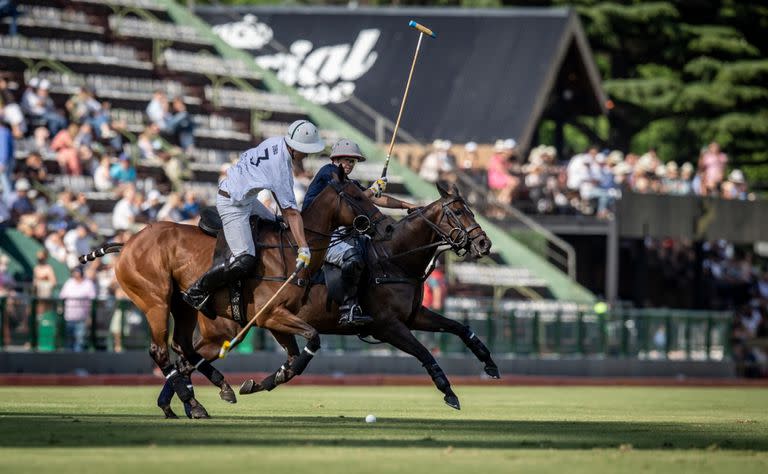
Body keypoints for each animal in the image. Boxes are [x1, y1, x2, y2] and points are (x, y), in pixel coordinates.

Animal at [82, 169, 390, 418]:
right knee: (160, 350)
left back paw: (210, 392)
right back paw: (192, 402)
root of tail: (128, 242)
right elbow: (313, 337)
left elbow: (294, 357)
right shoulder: (271, 315)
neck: (292, 248)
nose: (386, 226)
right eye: (357, 197)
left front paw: (263, 381)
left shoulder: (275, 318)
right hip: (155, 300)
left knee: (184, 347)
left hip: (183, 308)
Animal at [158, 181, 492, 414]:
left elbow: (459, 327)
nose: (484, 244)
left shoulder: (413, 315)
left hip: (231, 331)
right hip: (227, 330)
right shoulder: (388, 326)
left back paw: (181, 402)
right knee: (184, 356)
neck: (395, 258)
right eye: (458, 212)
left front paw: (489, 362)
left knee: (186, 357)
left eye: (472, 210)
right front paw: (449, 392)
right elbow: (424, 353)